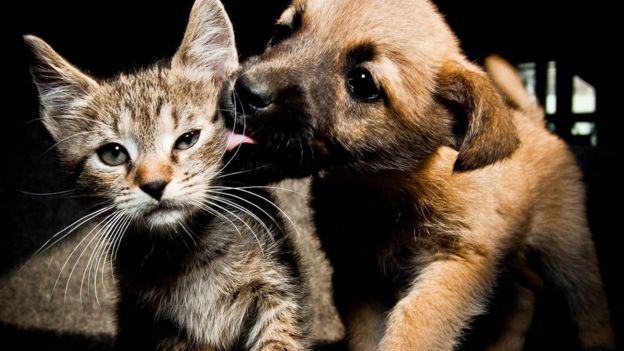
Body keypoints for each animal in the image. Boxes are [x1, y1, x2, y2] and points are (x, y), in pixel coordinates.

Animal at [25, 0, 308, 351]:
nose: (154, 184)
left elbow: (280, 338)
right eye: (113, 154)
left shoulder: (276, 286)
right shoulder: (155, 326)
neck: (188, 253)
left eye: (187, 139)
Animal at [219, 1, 616, 350]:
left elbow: (415, 324)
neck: (386, 189)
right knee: (523, 298)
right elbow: (367, 337)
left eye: (362, 82)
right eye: (283, 31)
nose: (244, 92)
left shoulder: (456, 263)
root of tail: (535, 125)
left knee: (590, 308)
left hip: (567, 251)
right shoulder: (361, 277)